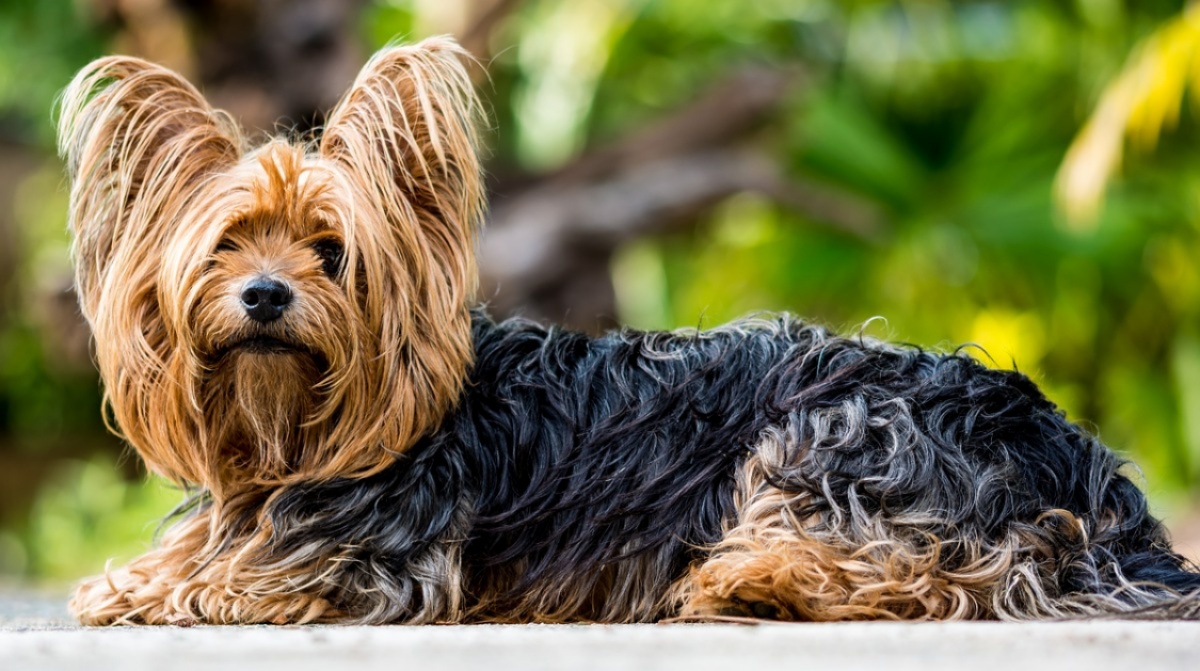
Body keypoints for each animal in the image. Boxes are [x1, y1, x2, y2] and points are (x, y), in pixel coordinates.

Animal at [56, 36, 1200, 624]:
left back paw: (756, 581)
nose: (263, 296)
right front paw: (142, 574)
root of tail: (1091, 470)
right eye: (225, 245)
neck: (293, 432)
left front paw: (151, 587)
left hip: (845, 427)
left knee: (952, 572)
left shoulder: (379, 560)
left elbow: (233, 577)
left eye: (332, 253)